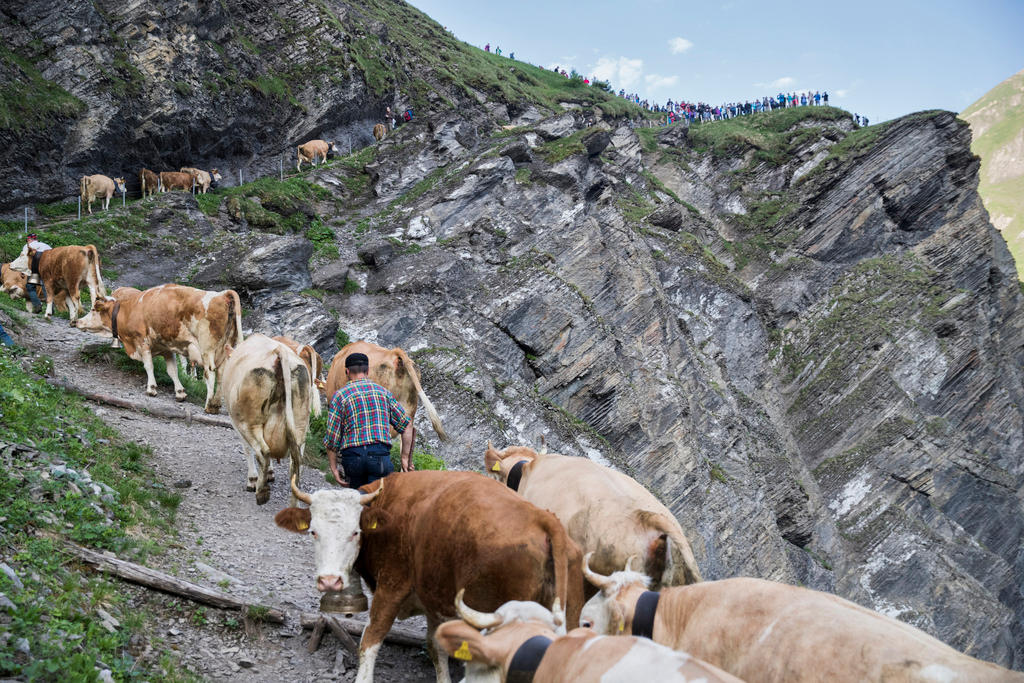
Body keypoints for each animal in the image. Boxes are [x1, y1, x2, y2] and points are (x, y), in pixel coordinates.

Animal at [73, 282, 242, 413]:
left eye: (93, 310)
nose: (76, 322)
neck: (131, 309)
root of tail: (223, 294)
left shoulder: (142, 342)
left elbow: (149, 366)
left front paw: (152, 388)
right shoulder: (166, 348)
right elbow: (172, 371)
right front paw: (180, 392)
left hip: (207, 349)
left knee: (210, 373)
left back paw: (208, 405)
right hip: (225, 348)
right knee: (221, 374)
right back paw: (215, 405)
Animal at [278, 471, 585, 683]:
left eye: (355, 532)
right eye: (313, 531)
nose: (330, 581)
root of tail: (544, 519)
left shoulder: (392, 586)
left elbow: (371, 639)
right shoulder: (436, 601)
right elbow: (437, 647)